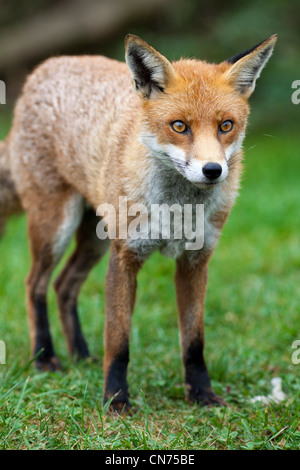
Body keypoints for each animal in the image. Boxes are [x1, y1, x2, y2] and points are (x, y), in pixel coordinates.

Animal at [0, 35, 276, 414]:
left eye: (226, 125)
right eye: (179, 126)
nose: (212, 170)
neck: (177, 211)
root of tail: (45, 68)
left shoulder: (195, 261)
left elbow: (194, 342)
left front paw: (201, 395)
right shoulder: (125, 256)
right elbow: (118, 342)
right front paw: (115, 400)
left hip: (95, 238)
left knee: (64, 285)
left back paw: (81, 355)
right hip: (56, 227)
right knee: (34, 285)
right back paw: (44, 358)